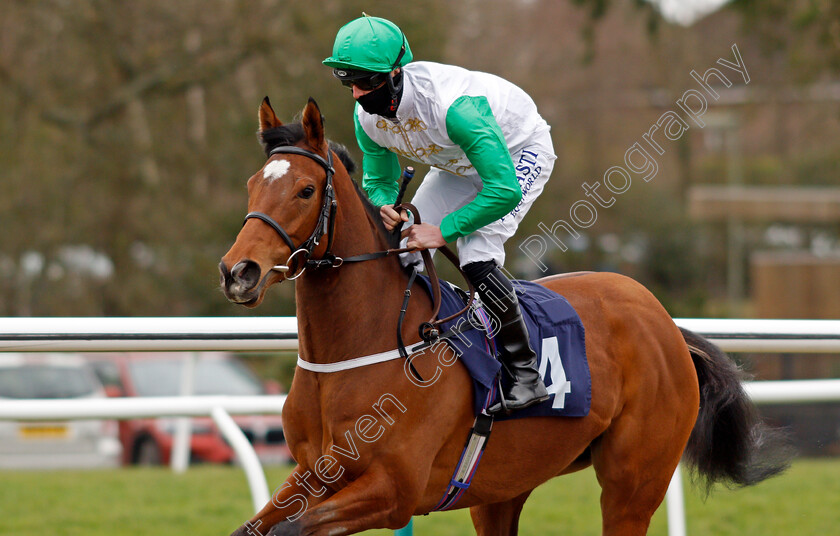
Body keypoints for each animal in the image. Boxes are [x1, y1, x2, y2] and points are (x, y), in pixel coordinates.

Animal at [220, 97, 792, 536]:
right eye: (251, 184)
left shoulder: (394, 490)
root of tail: (667, 325)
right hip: (503, 486)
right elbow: (253, 528)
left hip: (634, 482)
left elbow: (293, 529)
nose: (238, 271)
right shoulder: (312, 474)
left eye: (305, 190)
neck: (360, 347)